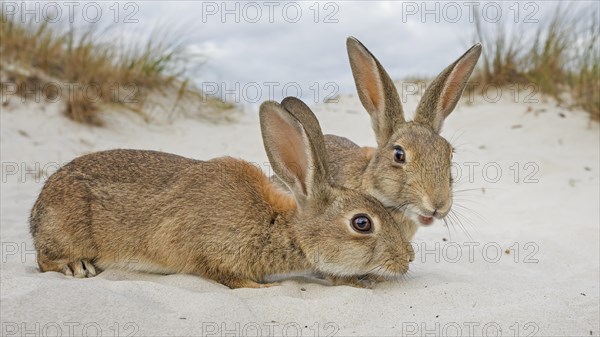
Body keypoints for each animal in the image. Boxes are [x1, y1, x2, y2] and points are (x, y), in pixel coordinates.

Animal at [28, 98, 412, 288]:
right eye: (362, 223)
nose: (407, 258)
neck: (279, 226)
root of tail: (38, 209)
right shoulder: (212, 254)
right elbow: (230, 279)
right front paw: (264, 288)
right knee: (45, 260)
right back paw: (77, 267)